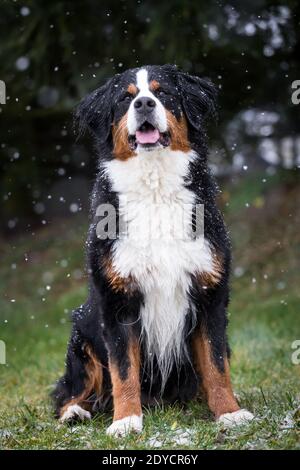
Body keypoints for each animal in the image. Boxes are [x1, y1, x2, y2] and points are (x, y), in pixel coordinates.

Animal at [52, 64, 254, 436]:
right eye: (125, 97)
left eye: (163, 93)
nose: (144, 104)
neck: (155, 186)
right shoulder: (117, 301)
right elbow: (123, 369)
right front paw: (125, 421)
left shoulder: (210, 295)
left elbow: (217, 364)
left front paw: (229, 413)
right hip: (81, 331)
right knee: (71, 389)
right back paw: (75, 412)